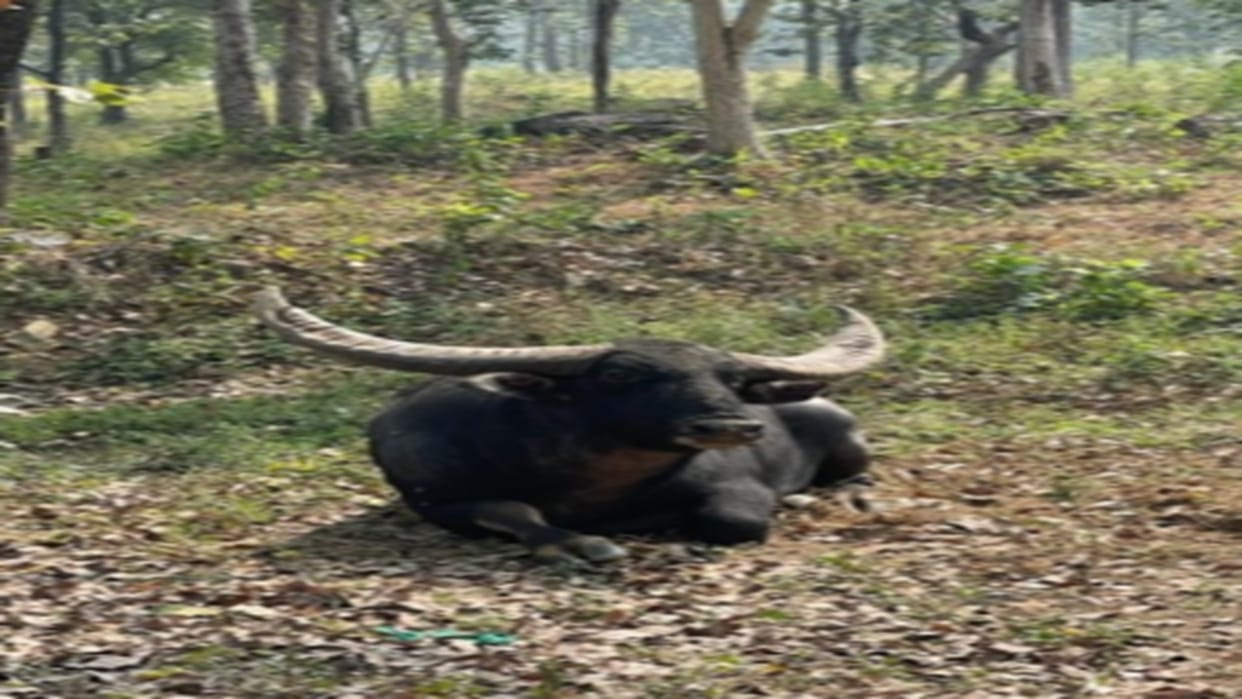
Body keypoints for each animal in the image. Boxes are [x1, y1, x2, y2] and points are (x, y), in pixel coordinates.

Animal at [255, 287, 884, 564]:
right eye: (619, 375)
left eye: (732, 379)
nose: (730, 424)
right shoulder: (433, 499)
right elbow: (512, 511)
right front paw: (582, 545)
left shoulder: (738, 490)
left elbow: (731, 522)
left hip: (852, 446)